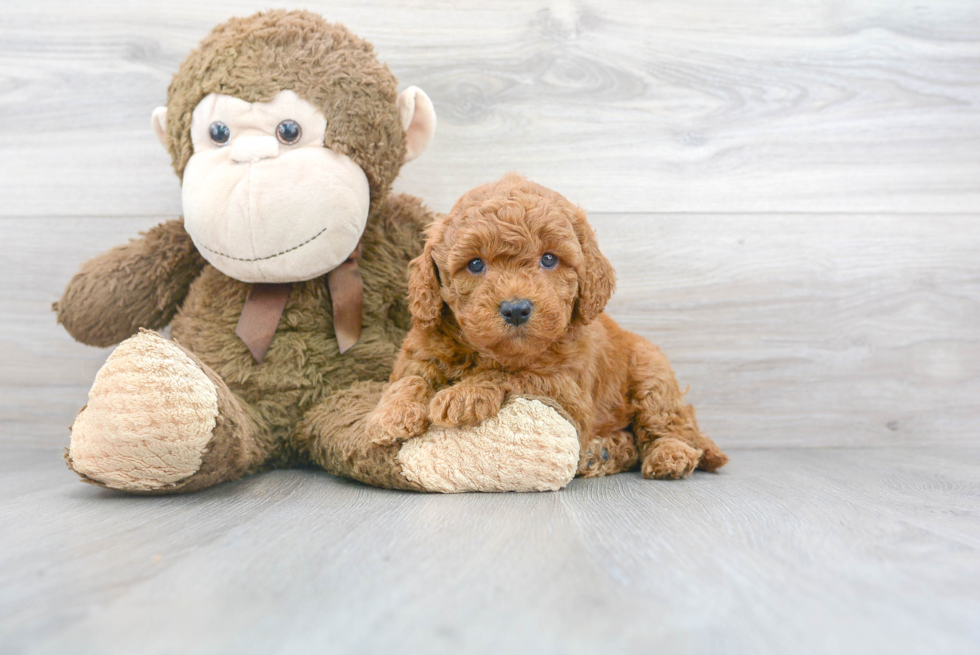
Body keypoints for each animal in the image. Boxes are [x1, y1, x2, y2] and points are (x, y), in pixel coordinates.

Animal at [368, 174, 728, 482]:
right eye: (475, 264)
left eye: (549, 259)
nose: (515, 309)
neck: (487, 353)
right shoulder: (419, 352)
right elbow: (409, 379)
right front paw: (391, 414)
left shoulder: (566, 391)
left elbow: (513, 375)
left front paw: (463, 395)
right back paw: (604, 453)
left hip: (652, 377)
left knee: (668, 426)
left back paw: (669, 455)